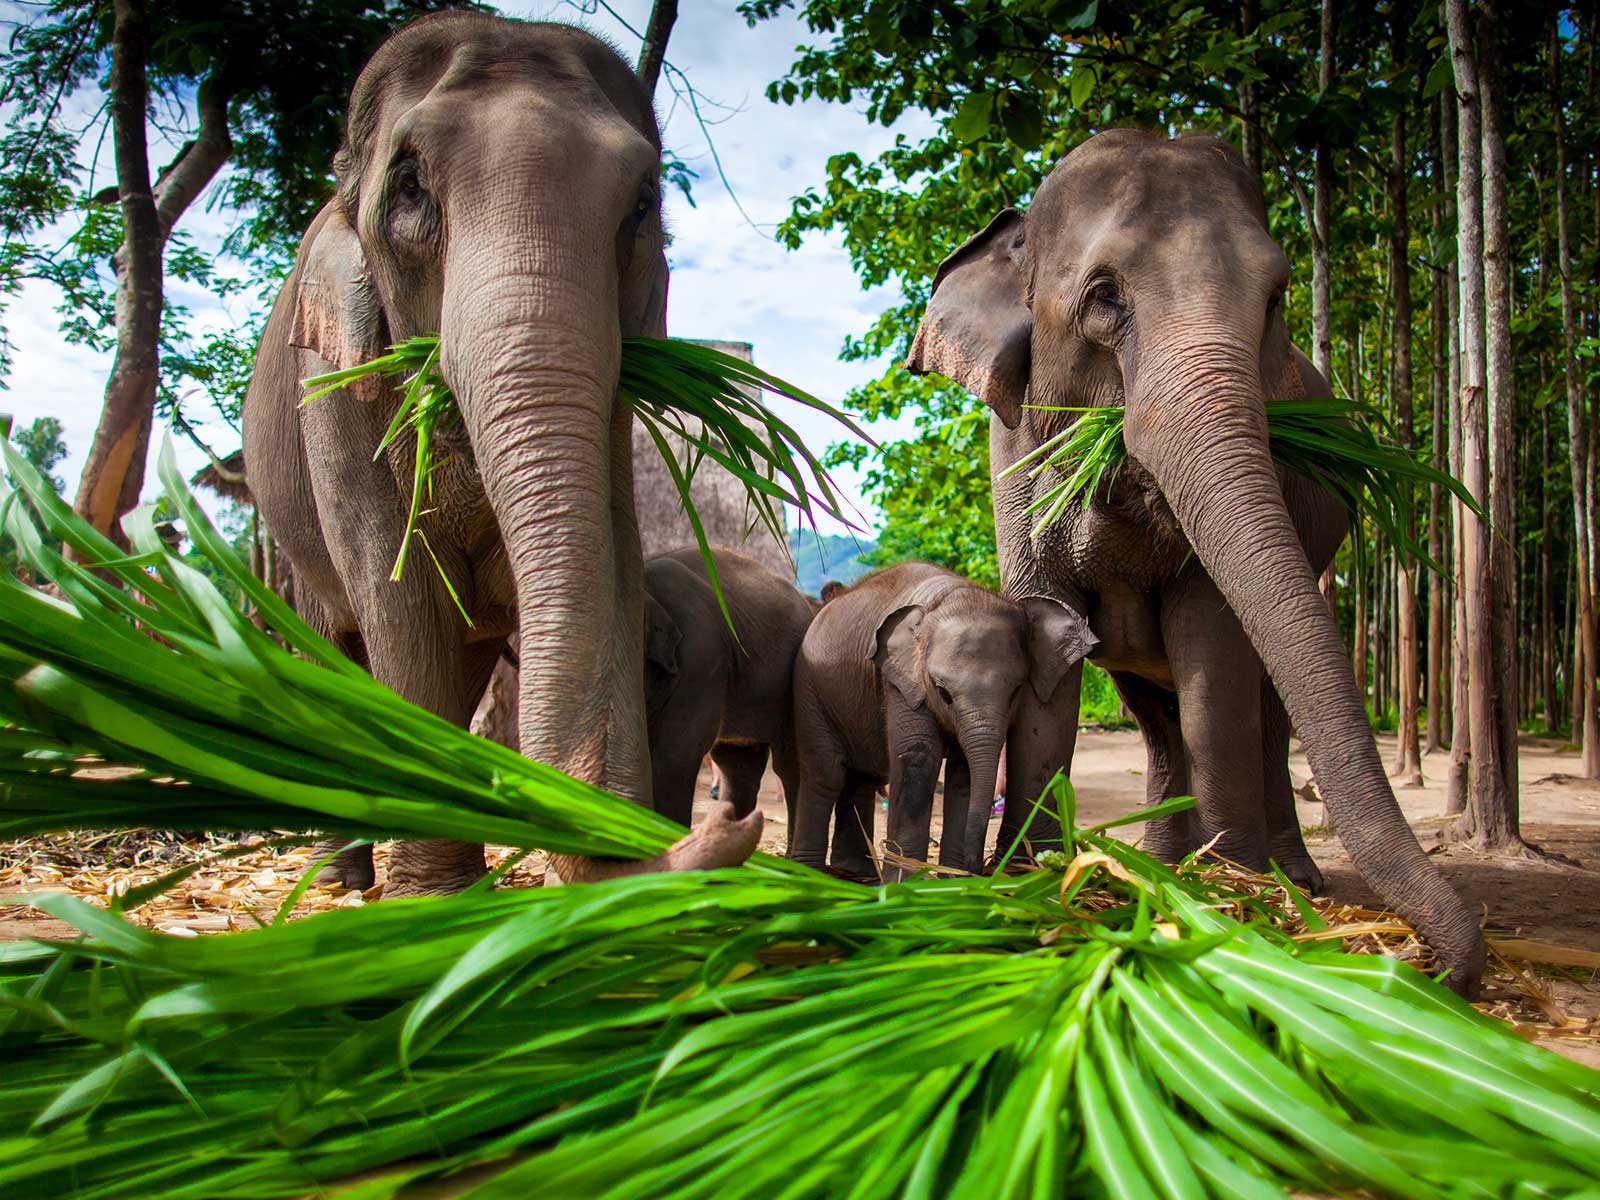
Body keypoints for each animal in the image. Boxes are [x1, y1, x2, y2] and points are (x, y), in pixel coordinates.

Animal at [241, 13, 760, 896]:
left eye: (642, 204)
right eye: (409, 187)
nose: (726, 824)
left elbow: (611, 561)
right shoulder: (333, 386)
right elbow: (401, 596)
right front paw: (432, 897)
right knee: (336, 644)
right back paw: (342, 877)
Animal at [789, 562, 1095, 882]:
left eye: (1016, 691)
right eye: (942, 692)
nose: (978, 867)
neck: (952, 594)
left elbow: (963, 774)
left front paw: (953, 882)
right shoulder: (900, 682)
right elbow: (918, 756)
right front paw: (906, 886)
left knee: (863, 777)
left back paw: (857, 873)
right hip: (809, 690)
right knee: (826, 772)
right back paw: (809, 874)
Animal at [907, 128, 1486, 992]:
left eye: (1277, 297)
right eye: (1105, 296)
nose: (1430, 966)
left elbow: (1213, 647)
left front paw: (1232, 891)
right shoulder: (1008, 458)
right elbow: (1049, 642)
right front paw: (1034, 877)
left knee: (1264, 712)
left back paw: (1283, 877)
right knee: (1153, 715)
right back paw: (1155, 862)